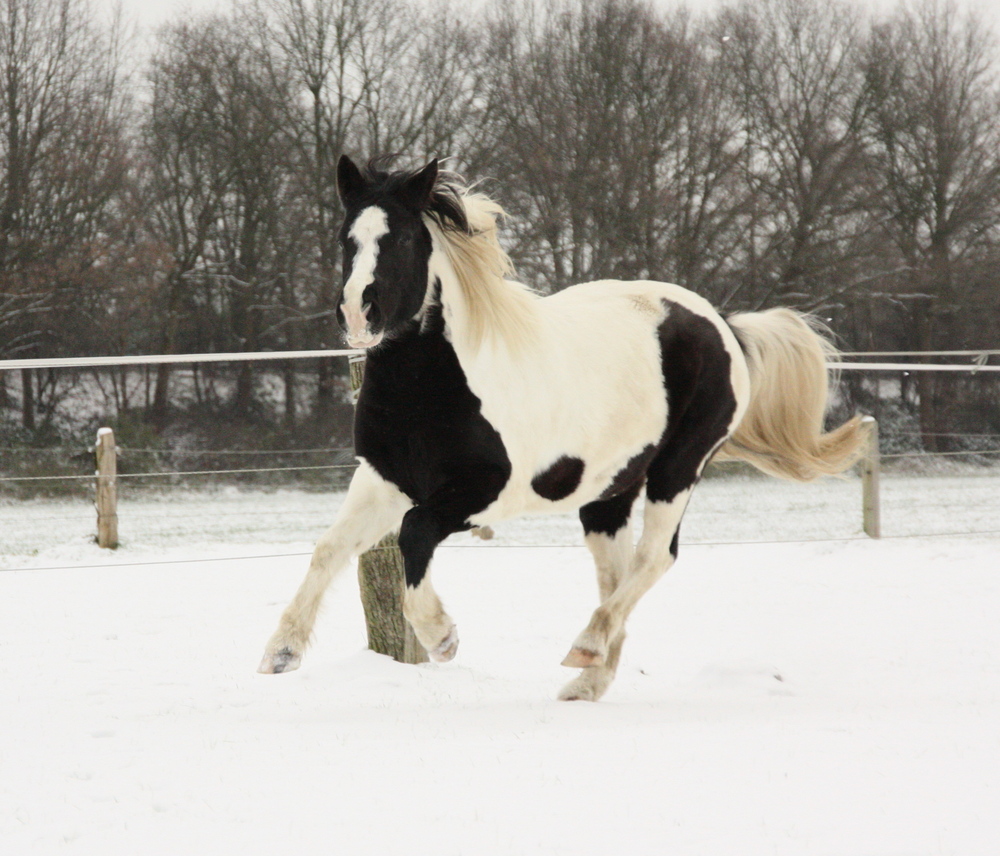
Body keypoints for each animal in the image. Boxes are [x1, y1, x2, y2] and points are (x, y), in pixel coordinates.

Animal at [260, 155, 868, 704]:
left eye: (406, 238)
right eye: (347, 238)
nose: (359, 314)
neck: (434, 385)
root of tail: (723, 324)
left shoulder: (487, 492)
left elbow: (413, 532)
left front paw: (441, 637)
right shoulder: (383, 479)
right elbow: (329, 548)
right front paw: (281, 652)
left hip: (679, 468)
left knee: (655, 557)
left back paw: (584, 649)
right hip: (608, 493)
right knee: (617, 574)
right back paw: (587, 680)